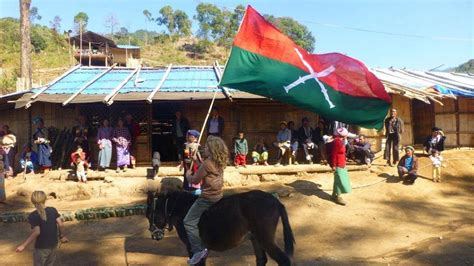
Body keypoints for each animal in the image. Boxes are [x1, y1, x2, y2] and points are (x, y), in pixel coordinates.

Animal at [146, 190, 294, 264]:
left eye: (150, 215)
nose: (154, 235)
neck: (182, 208)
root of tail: (275, 201)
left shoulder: (192, 247)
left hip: (265, 239)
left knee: (284, 260)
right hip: (256, 238)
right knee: (261, 259)